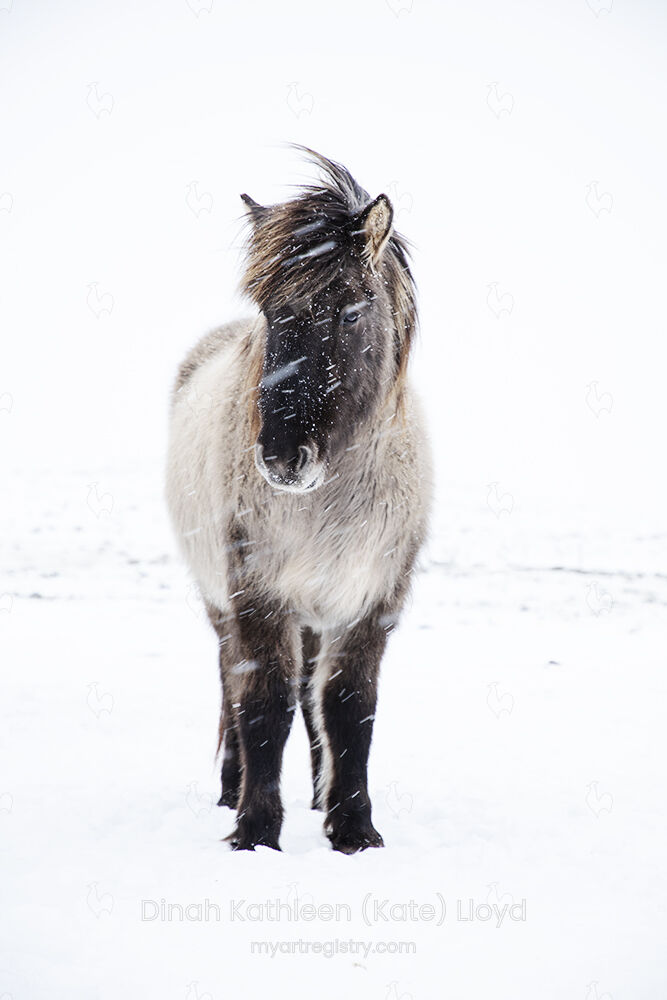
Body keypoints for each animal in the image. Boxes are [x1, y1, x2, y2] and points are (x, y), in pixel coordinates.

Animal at [166, 147, 431, 853]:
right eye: (268, 312)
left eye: (351, 312)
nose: (282, 459)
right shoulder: (257, 596)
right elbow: (262, 705)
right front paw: (255, 830)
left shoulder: (370, 602)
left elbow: (347, 708)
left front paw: (353, 828)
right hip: (222, 603)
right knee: (232, 683)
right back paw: (232, 789)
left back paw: (316, 797)